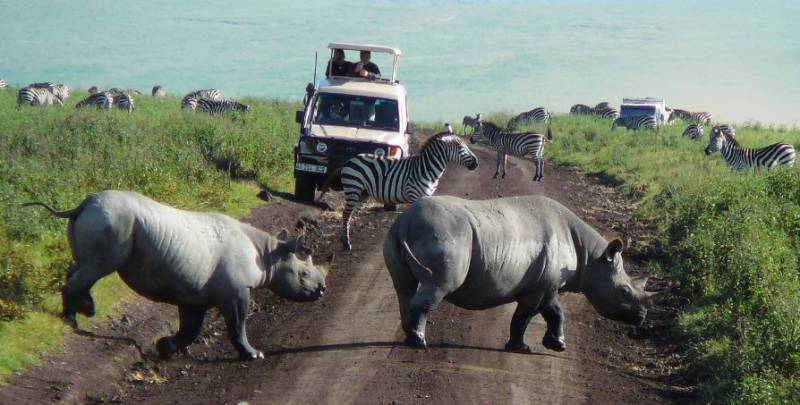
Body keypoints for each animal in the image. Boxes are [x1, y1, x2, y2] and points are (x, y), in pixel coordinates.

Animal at [320, 131, 482, 249]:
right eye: (461, 148)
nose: (476, 163)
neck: (427, 169)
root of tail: (350, 160)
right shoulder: (414, 195)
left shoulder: (426, 196)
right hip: (353, 188)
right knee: (346, 214)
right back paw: (346, 244)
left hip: (362, 193)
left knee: (349, 214)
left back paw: (344, 239)